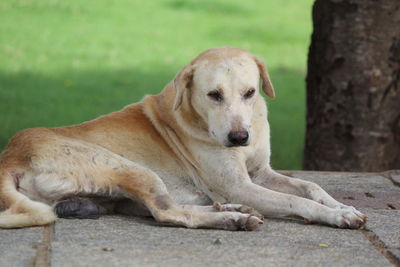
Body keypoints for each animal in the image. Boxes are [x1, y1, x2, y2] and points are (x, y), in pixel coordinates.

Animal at [0, 47, 366, 230]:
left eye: (250, 93)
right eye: (214, 95)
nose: (239, 137)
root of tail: (10, 155)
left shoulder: (260, 172)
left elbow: (311, 187)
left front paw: (340, 205)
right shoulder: (240, 184)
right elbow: (296, 201)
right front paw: (335, 216)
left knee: (169, 207)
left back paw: (229, 210)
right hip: (133, 169)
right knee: (169, 214)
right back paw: (232, 218)